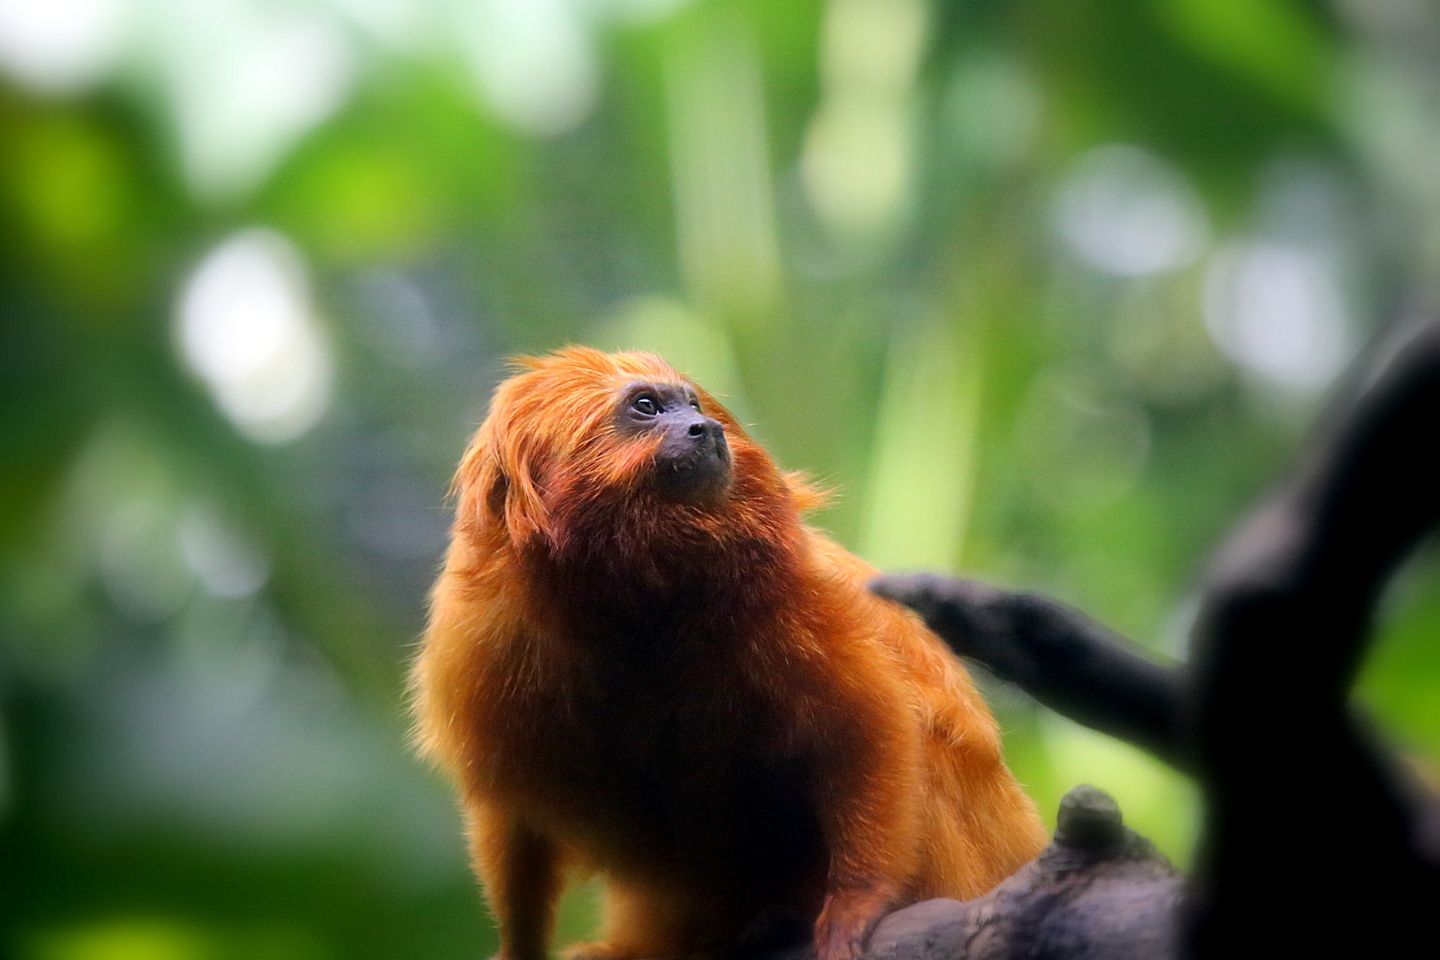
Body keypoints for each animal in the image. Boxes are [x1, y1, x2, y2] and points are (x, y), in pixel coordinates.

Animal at [410, 347, 1046, 960]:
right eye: (646, 406)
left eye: (691, 403)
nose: (706, 428)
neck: (630, 602)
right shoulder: (478, 642)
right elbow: (512, 816)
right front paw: (519, 946)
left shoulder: (799, 596)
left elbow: (872, 726)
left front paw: (858, 902)